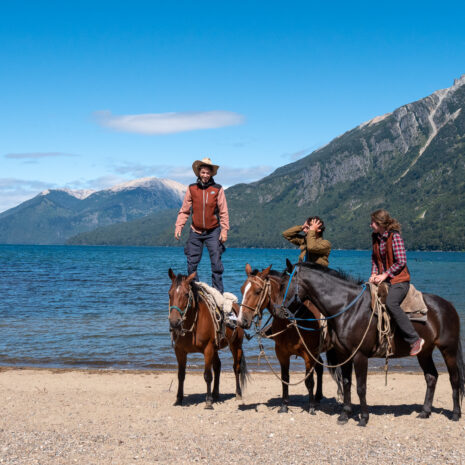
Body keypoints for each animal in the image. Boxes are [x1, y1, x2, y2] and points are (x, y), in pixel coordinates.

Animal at [167, 266, 246, 408]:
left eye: (186, 294)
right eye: (169, 294)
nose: (174, 322)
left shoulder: (208, 349)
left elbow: (207, 375)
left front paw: (208, 401)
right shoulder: (180, 351)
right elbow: (181, 375)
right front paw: (179, 399)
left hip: (236, 345)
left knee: (236, 368)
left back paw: (238, 393)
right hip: (216, 348)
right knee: (218, 366)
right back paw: (215, 393)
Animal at [237, 262, 338, 412]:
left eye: (258, 291)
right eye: (242, 289)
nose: (241, 321)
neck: (291, 319)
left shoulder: (308, 354)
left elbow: (309, 380)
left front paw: (311, 407)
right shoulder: (282, 353)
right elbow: (285, 378)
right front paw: (284, 405)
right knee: (320, 368)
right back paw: (318, 396)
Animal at [278, 260, 462, 426]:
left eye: (282, 285)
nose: (279, 312)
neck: (348, 308)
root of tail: (448, 305)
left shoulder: (360, 355)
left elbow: (361, 387)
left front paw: (364, 418)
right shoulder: (344, 354)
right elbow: (347, 383)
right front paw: (345, 415)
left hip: (448, 349)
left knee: (454, 378)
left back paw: (455, 414)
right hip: (424, 352)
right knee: (431, 377)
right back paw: (425, 412)